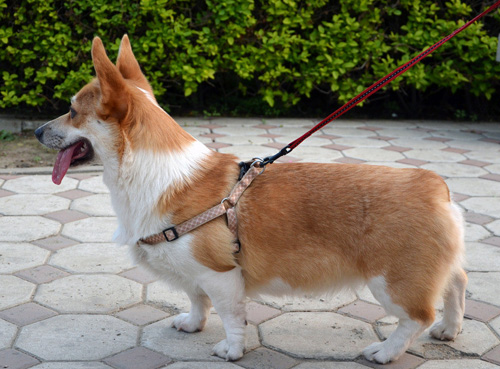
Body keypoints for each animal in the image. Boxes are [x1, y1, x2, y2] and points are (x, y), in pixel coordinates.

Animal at [34, 36, 464, 364]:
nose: (37, 131)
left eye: (72, 111)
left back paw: (386, 351)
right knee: (456, 282)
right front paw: (192, 325)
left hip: (391, 282)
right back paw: (449, 328)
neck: (148, 172)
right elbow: (196, 299)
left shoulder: (221, 274)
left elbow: (229, 316)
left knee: (416, 317)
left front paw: (232, 350)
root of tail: (434, 186)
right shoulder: (196, 275)